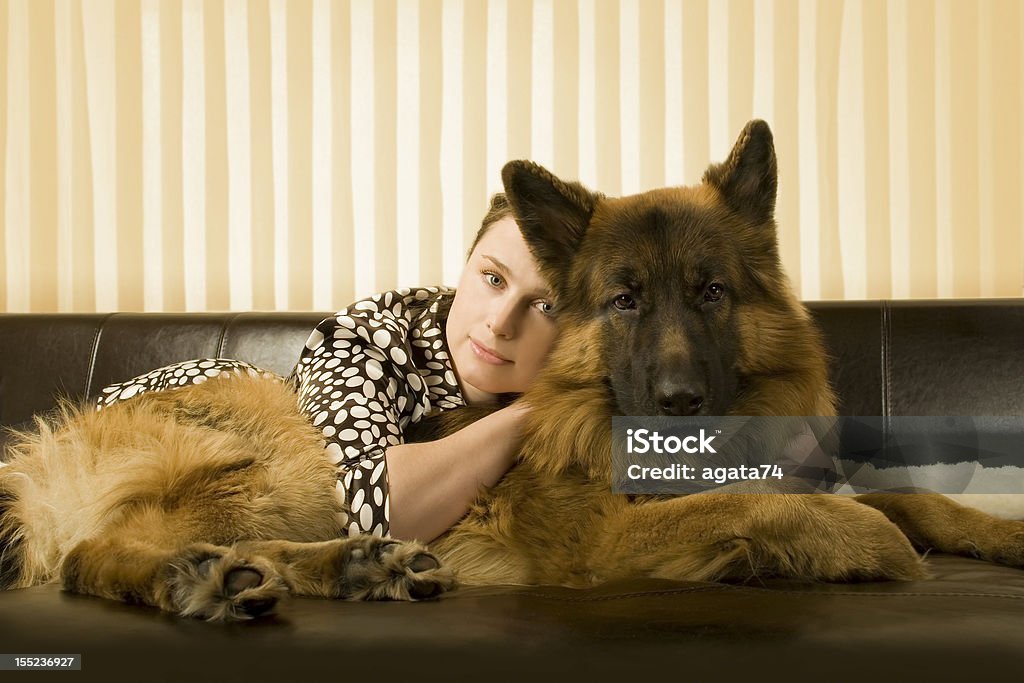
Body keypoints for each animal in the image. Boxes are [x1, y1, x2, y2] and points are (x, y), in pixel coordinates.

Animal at [2, 120, 1024, 622]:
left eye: (711, 292)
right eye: (623, 300)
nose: (680, 403)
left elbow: (907, 496)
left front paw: (996, 532)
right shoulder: (606, 539)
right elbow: (807, 509)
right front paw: (858, 548)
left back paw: (350, 569)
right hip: (281, 443)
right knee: (95, 554)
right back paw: (203, 578)